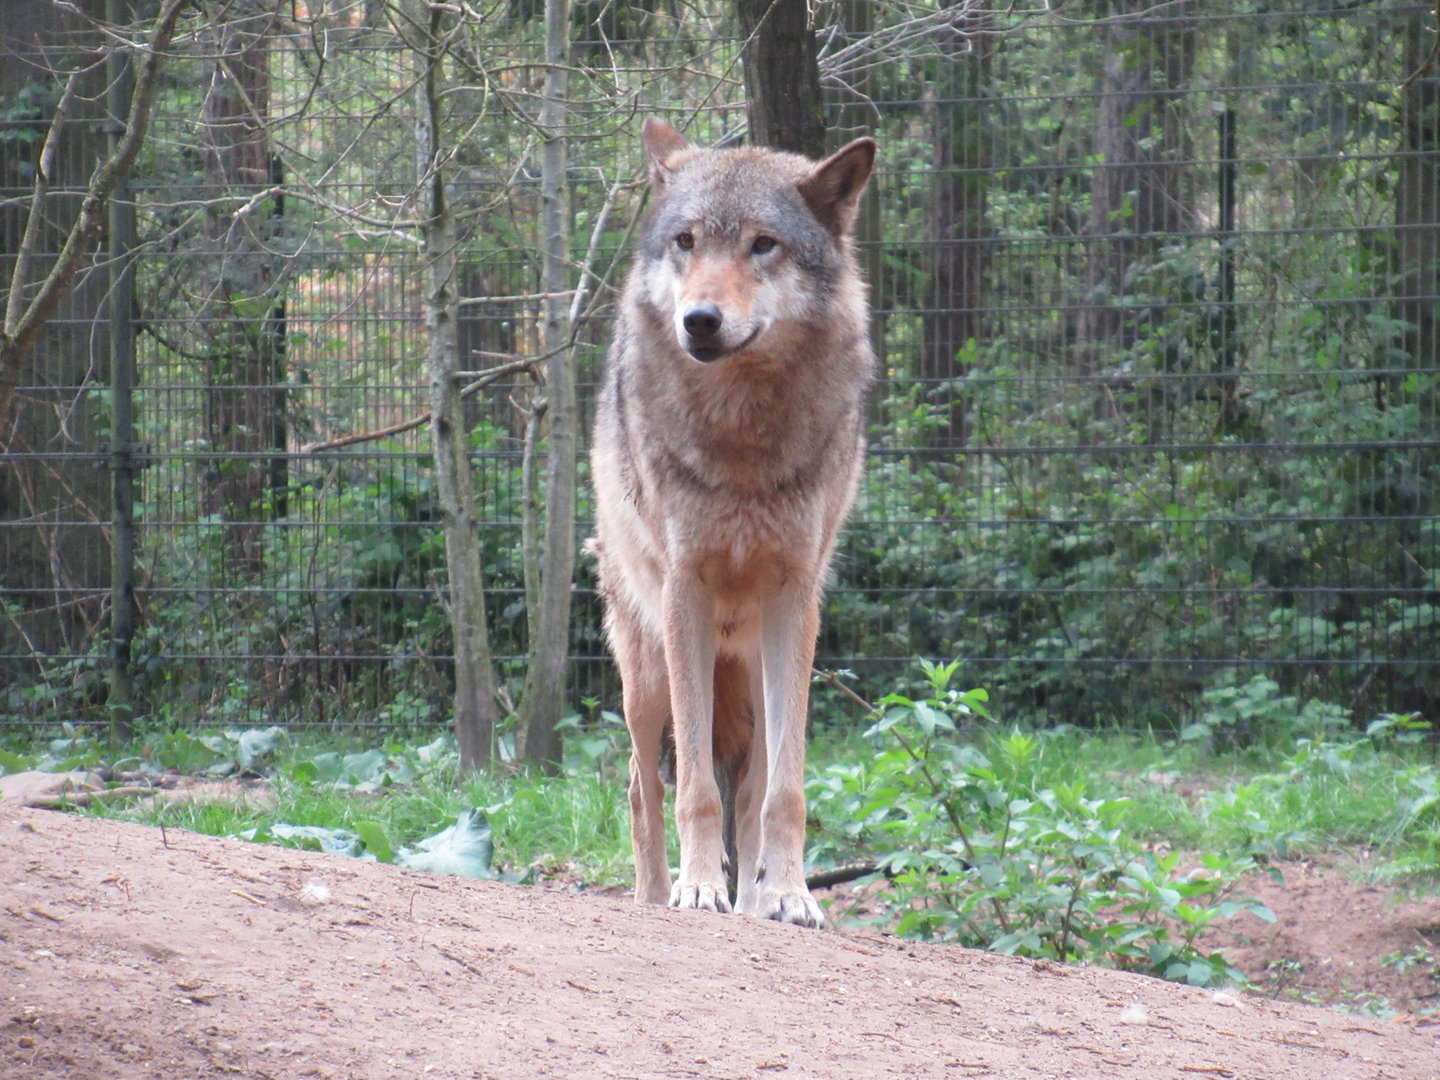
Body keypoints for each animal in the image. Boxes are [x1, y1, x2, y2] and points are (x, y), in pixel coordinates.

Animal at [590, 118, 876, 928]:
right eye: (686, 241)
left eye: (763, 245)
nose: (700, 320)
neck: (744, 435)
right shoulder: (684, 593)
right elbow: (693, 788)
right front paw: (696, 889)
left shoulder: (795, 603)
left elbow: (781, 792)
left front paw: (788, 895)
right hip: (646, 673)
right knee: (641, 788)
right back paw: (656, 895)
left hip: (749, 674)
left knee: (748, 789)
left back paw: (754, 898)